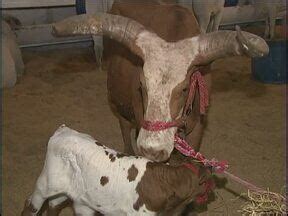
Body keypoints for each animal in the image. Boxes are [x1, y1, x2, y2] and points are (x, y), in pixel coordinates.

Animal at [21, 125, 212, 215]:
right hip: (45, 185)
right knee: (31, 206)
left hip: (77, 200)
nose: (210, 166)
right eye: (204, 182)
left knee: (53, 206)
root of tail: (63, 131)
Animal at [53, 0, 268, 162]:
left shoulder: (198, 128)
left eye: (185, 88)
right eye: (142, 85)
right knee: (125, 130)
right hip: (119, 106)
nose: (152, 149)